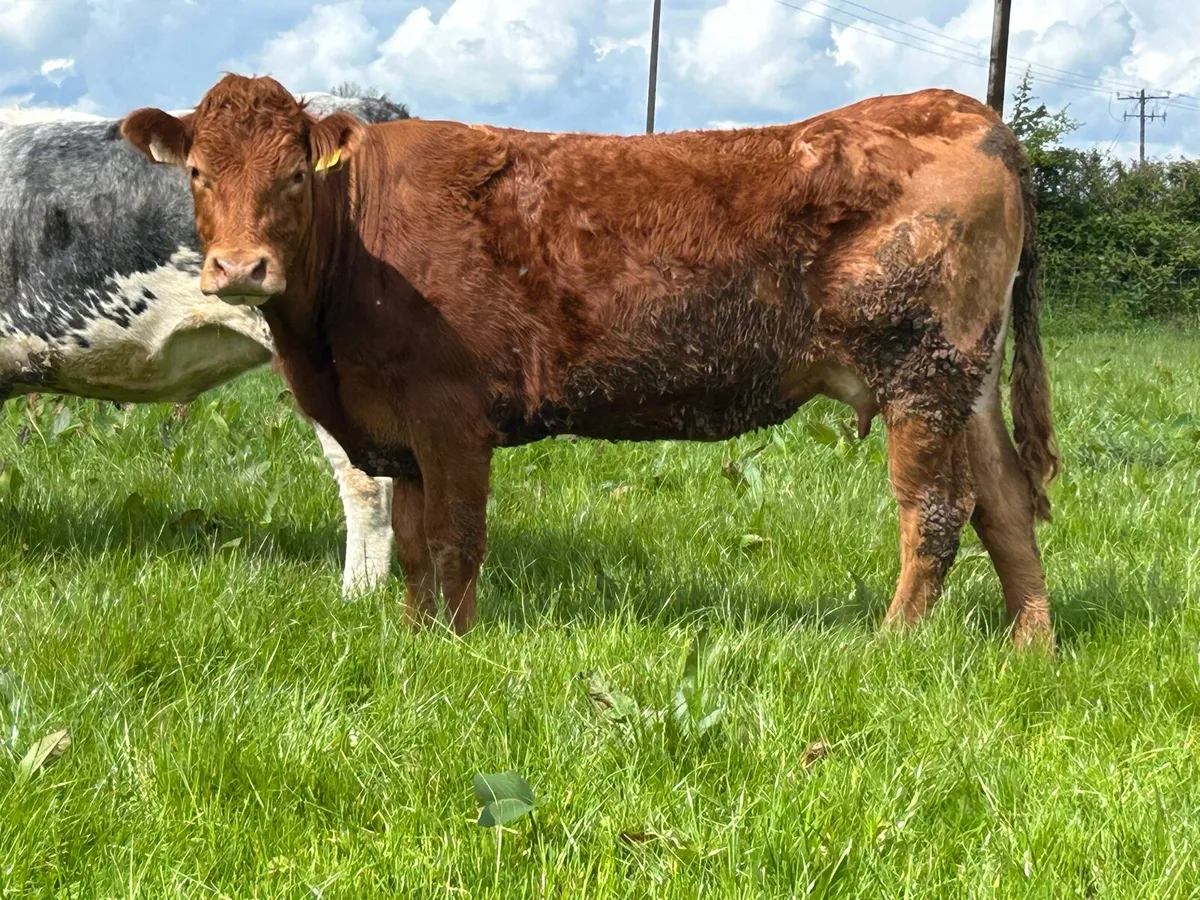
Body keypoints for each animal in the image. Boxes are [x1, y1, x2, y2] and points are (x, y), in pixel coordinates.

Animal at [121, 74, 1061, 647]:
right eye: (198, 172)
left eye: (293, 175)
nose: (240, 268)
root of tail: (967, 113)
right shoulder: (401, 430)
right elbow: (417, 546)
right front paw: (416, 638)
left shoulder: (450, 416)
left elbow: (457, 538)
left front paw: (454, 648)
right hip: (966, 379)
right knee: (1007, 504)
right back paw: (1031, 646)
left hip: (919, 371)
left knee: (935, 511)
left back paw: (890, 644)